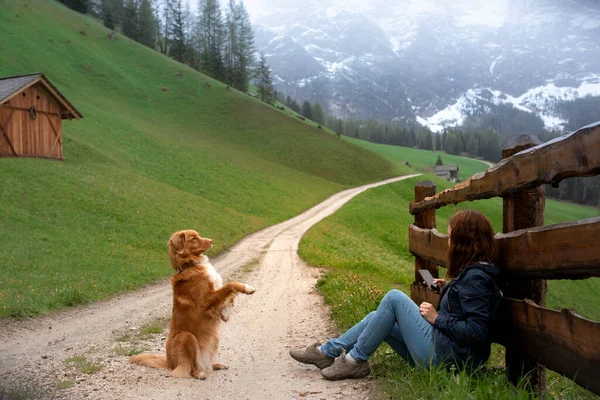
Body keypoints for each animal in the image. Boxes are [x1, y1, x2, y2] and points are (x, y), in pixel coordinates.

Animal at [131, 230, 255, 380]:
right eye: (193, 238)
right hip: (186, 337)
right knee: (191, 368)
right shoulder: (207, 300)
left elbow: (229, 296)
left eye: (198, 235)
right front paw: (247, 288)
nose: (211, 240)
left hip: (214, 337)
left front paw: (225, 314)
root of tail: (169, 362)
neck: (191, 264)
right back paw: (200, 374)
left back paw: (217, 365)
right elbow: (230, 285)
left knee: (206, 364)